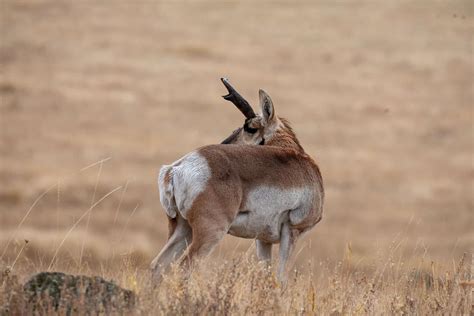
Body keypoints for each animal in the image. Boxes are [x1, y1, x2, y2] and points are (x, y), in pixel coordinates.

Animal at [150, 78, 324, 282]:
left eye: (249, 128)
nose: (224, 143)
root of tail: (176, 168)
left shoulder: (262, 239)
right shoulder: (292, 231)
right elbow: (281, 279)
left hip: (182, 229)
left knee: (158, 266)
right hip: (210, 232)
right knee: (185, 268)